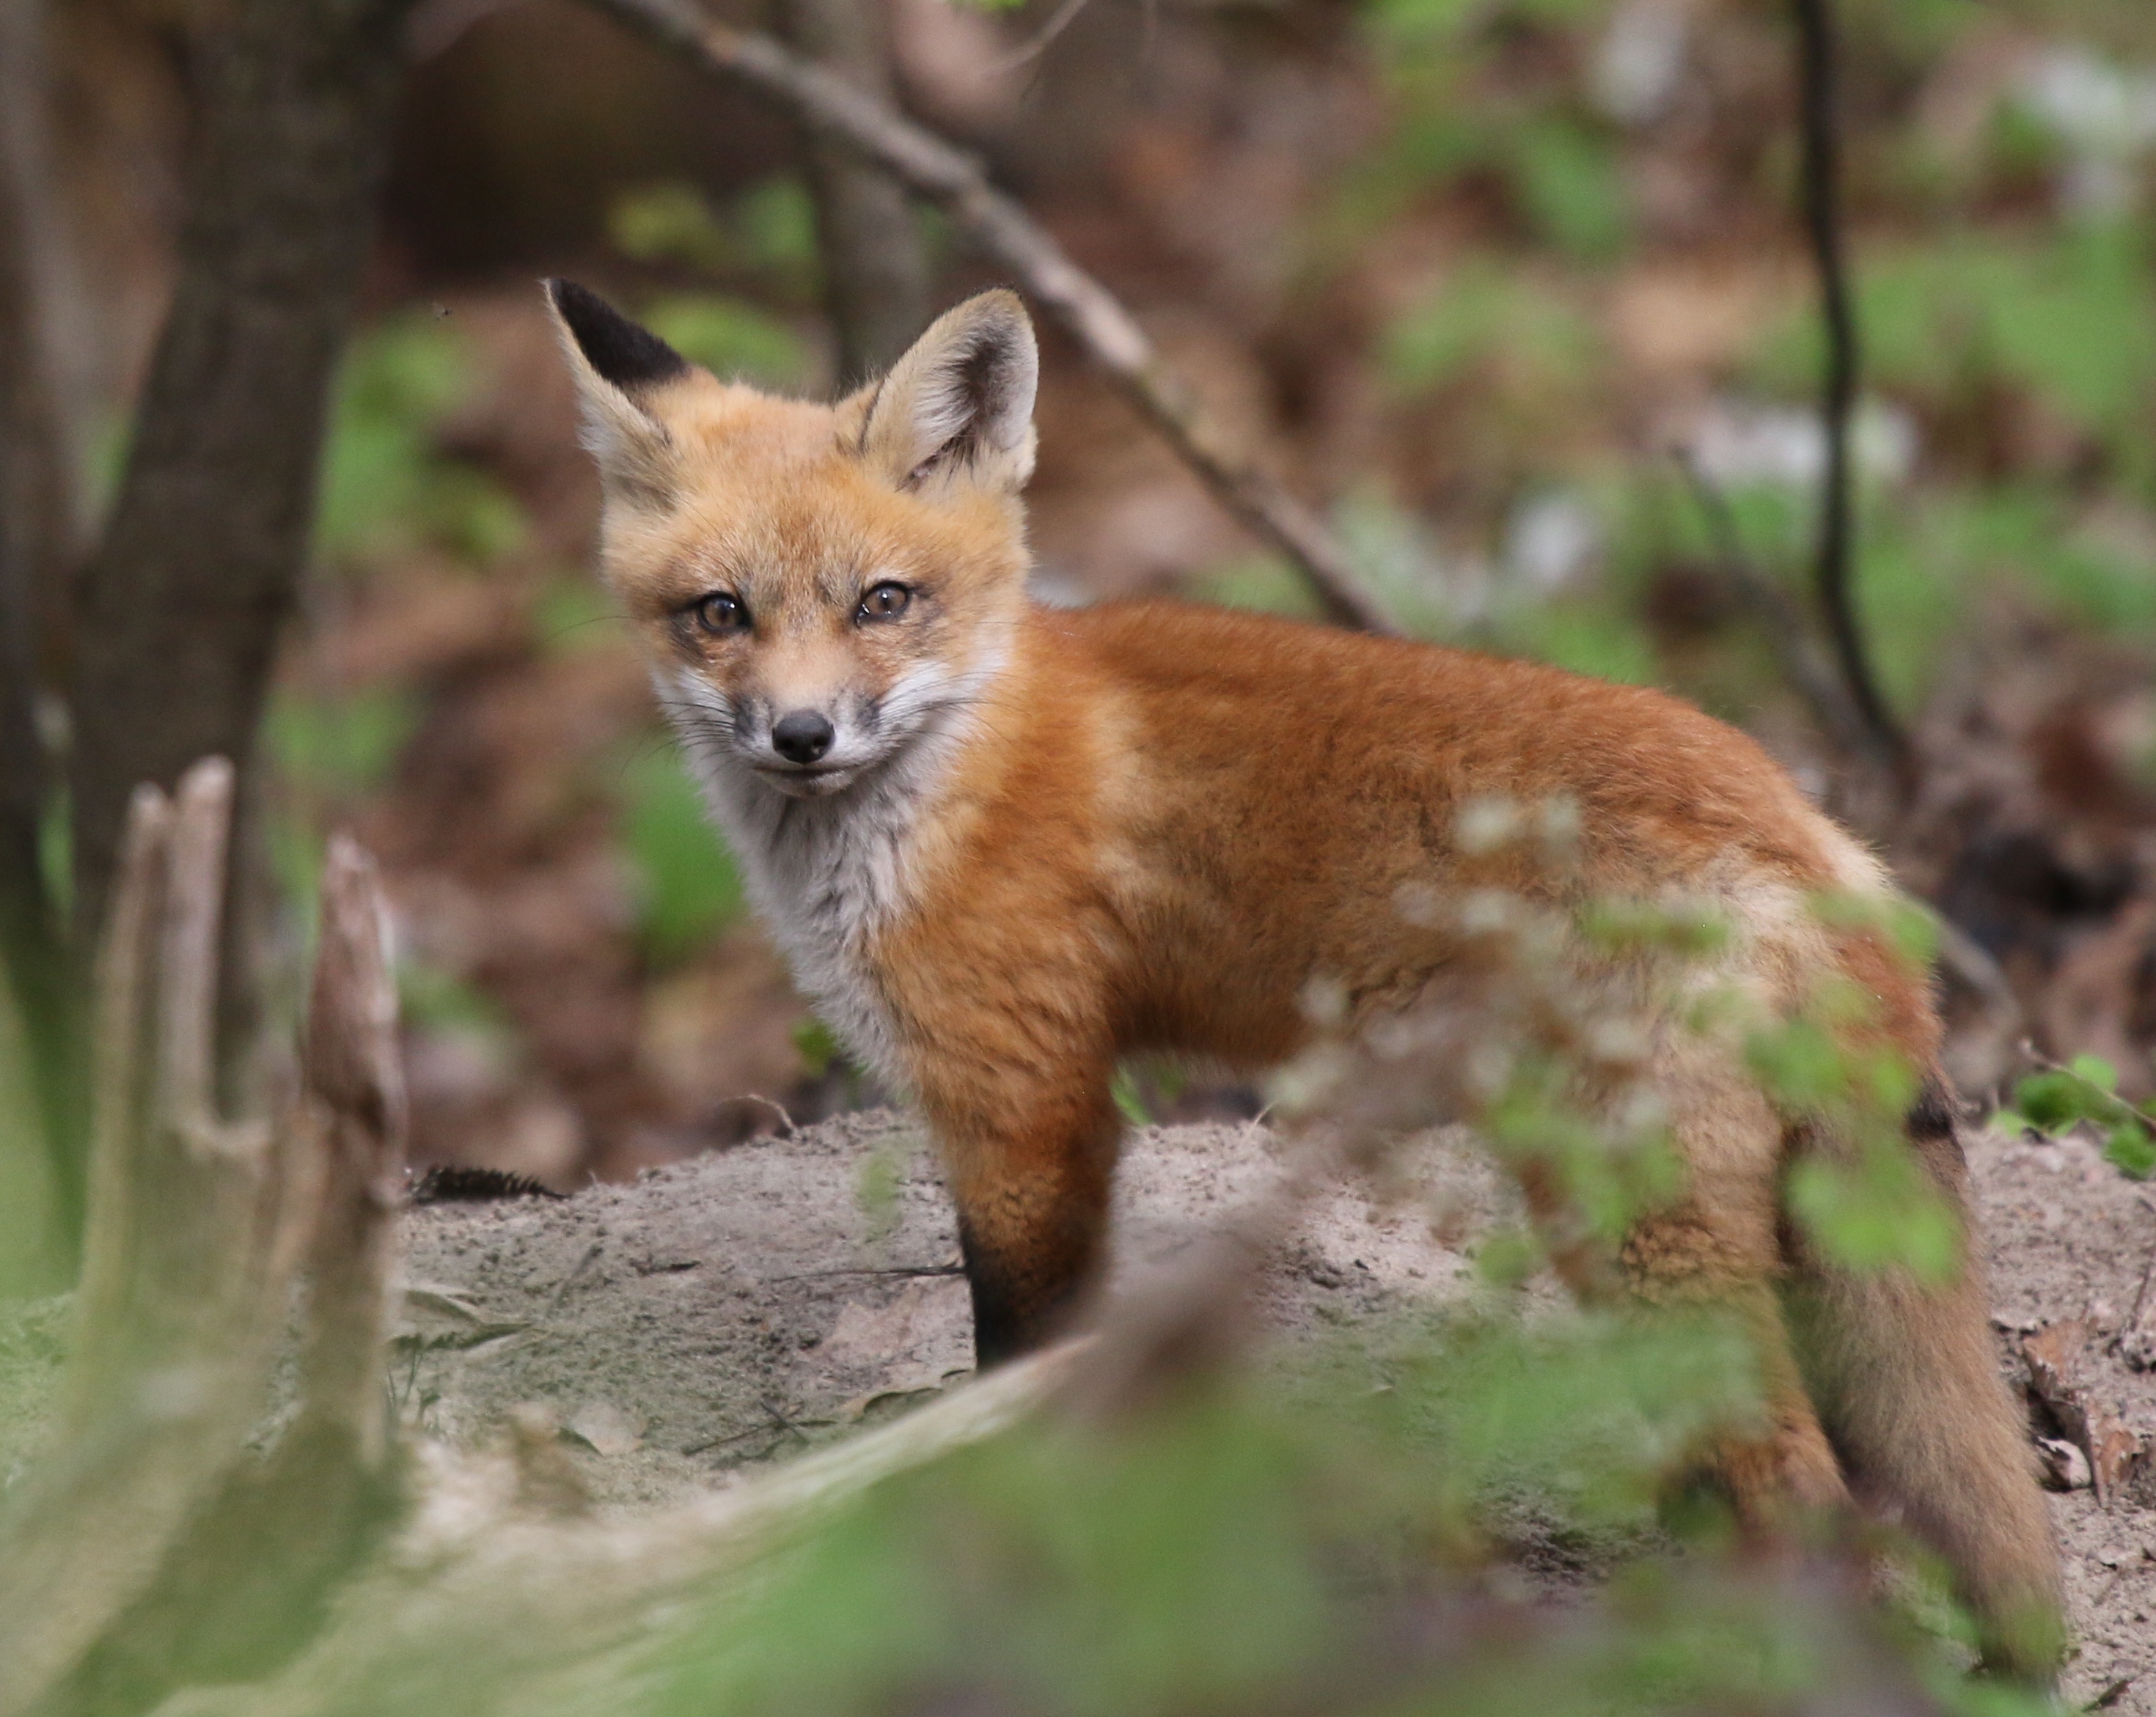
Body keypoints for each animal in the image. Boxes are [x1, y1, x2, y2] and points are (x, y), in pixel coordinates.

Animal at [543, 278, 2062, 1677]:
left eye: (883, 602)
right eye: (720, 614)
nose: (801, 736)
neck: (948, 774)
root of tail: (1810, 828)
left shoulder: (1027, 1101)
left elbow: (1020, 1365)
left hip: (1636, 1221)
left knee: (1806, 1498)